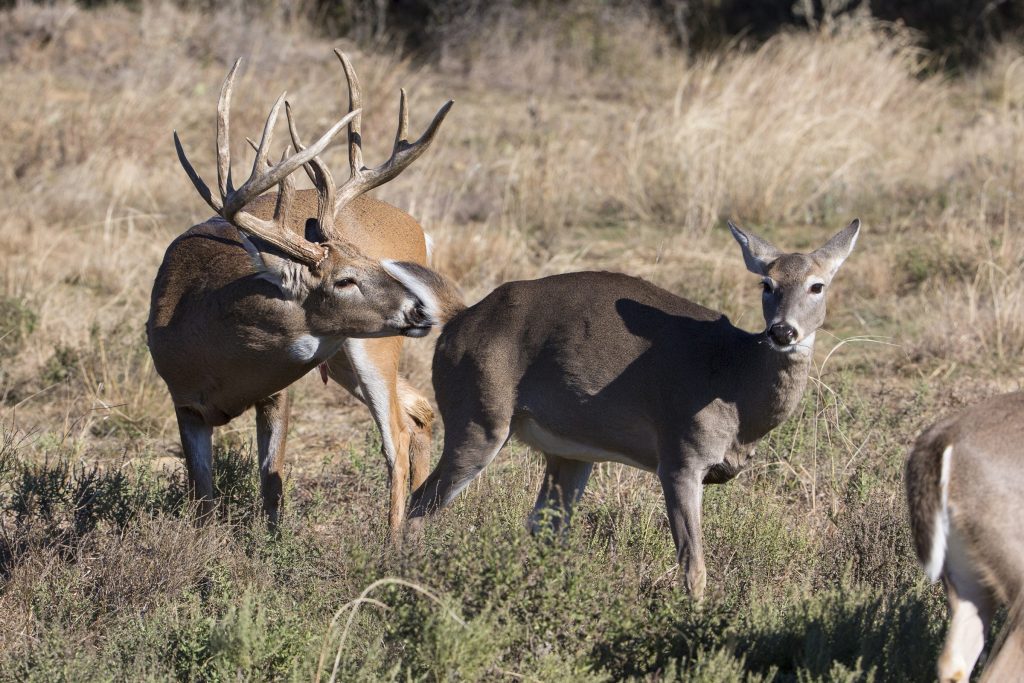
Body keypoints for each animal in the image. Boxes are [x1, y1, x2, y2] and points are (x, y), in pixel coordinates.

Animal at [147, 54, 460, 532]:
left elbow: (271, 482)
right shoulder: (185, 403)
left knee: (397, 437)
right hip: (347, 353)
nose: (421, 309)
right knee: (420, 410)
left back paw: (393, 540)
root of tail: (414, 226)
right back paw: (421, 529)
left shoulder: (276, 391)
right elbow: (203, 497)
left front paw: (273, 545)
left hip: (373, 349)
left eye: (373, 262)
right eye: (344, 279)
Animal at [405, 220, 856, 598]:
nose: (782, 331)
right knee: (418, 503)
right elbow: (694, 568)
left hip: (567, 452)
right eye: (767, 283)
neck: (734, 382)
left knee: (541, 526)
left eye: (817, 286)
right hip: (478, 418)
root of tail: (456, 320)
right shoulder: (679, 457)